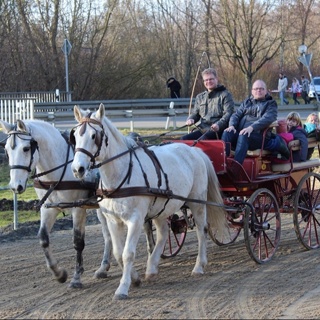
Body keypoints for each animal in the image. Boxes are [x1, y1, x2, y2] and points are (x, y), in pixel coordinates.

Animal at [0, 119, 112, 288]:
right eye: (6, 150)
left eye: (26, 148)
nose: (15, 186)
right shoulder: (48, 208)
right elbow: (43, 239)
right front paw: (59, 273)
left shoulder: (78, 208)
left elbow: (78, 242)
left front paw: (76, 278)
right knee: (108, 233)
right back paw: (103, 268)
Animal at [71, 104, 229, 300]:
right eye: (75, 135)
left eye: (94, 135)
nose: (78, 169)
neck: (121, 175)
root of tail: (195, 151)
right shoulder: (113, 220)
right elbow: (118, 253)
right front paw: (135, 278)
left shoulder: (136, 219)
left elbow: (128, 253)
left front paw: (122, 288)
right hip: (162, 207)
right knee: (163, 233)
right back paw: (152, 267)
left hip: (198, 202)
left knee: (202, 230)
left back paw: (199, 266)